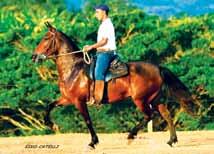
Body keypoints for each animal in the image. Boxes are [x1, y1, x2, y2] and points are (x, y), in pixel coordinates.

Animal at [31, 22, 199, 149]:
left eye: (46, 38)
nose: (33, 56)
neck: (74, 69)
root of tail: (158, 68)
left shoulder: (79, 101)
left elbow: (87, 121)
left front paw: (93, 142)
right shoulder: (68, 99)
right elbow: (49, 105)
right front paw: (50, 125)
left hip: (141, 100)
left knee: (149, 115)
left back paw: (131, 136)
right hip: (155, 100)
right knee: (167, 116)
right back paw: (171, 141)